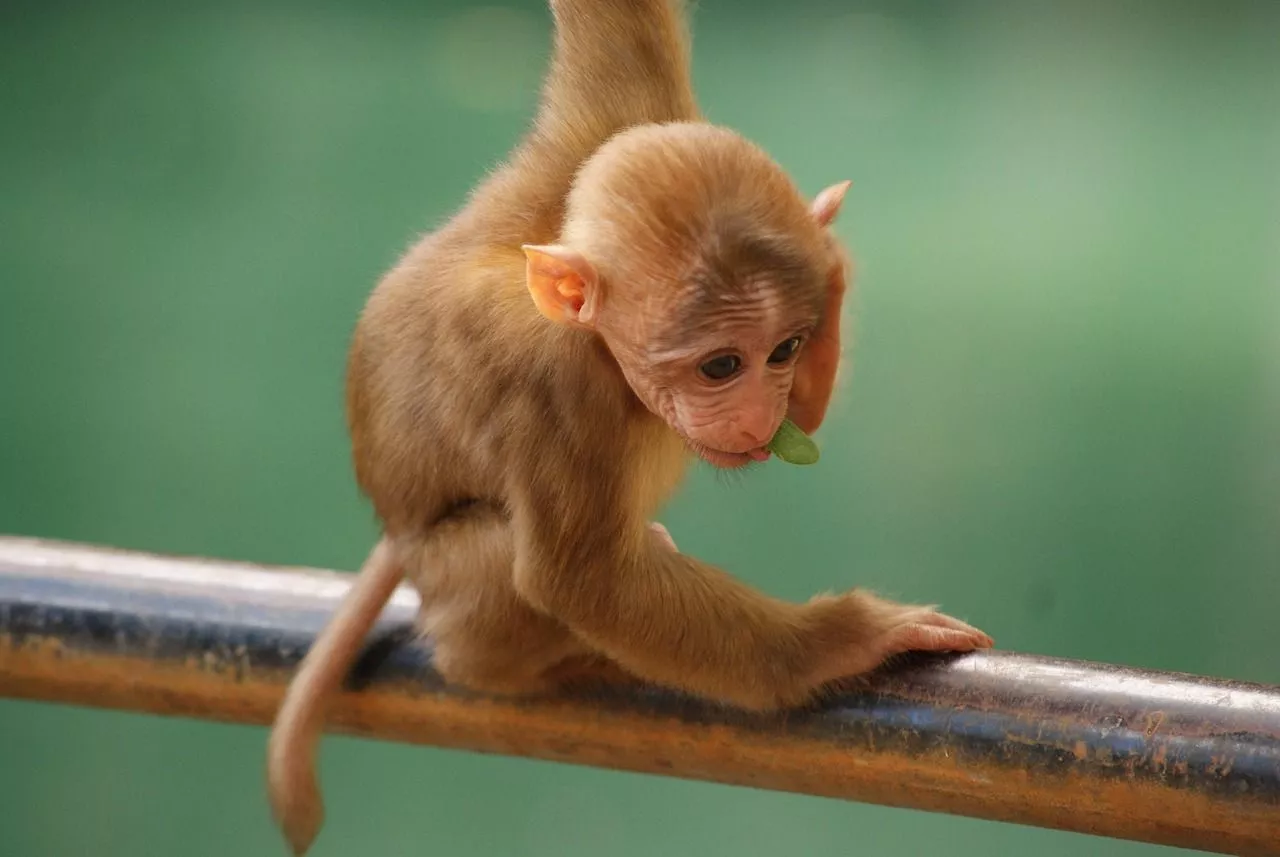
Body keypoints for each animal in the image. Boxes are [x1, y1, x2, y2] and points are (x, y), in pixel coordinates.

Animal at [266, 1, 993, 853]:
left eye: (785, 349)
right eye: (720, 365)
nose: (759, 413)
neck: (603, 350)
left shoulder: (622, 120)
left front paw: (830, 254)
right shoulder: (556, 393)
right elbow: (584, 579)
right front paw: (842, 637)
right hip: (450, 585)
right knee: (507, 570)